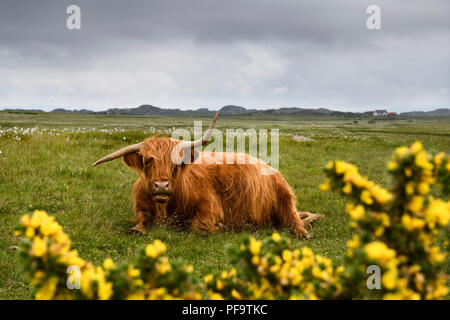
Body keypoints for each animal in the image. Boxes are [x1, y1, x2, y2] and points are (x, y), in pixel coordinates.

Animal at [93, 113, 318, 238]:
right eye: (148, 161)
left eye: (175, 164)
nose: (162, 186)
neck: (165, 208)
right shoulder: (141, 208)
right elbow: (139, 225)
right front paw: (137, 228)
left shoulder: (209, 208)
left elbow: (197, 227)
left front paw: (219, 227)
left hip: (284, 198)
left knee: (294, 221)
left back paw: (303, 234)